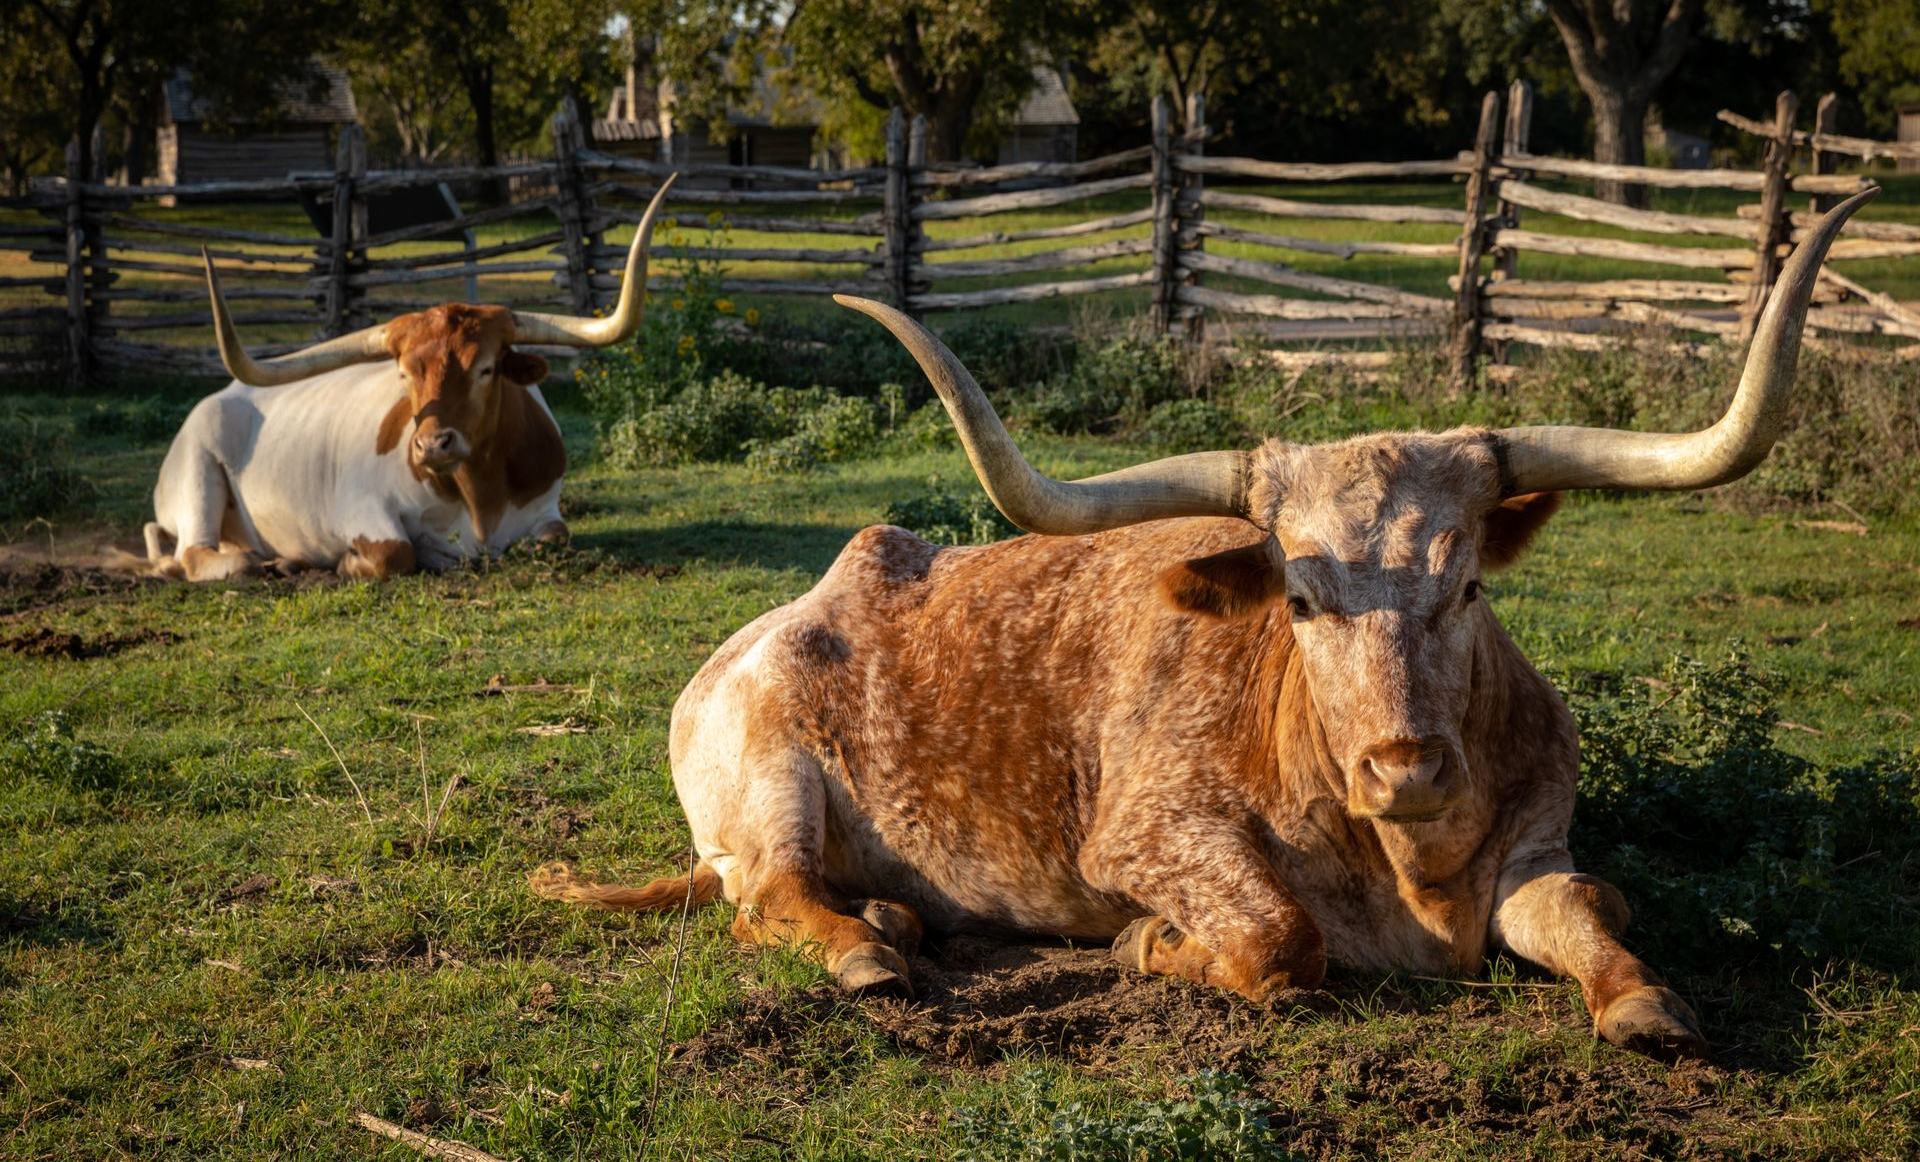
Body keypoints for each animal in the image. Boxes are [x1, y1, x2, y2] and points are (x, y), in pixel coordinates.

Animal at [140, 179, 677, 581]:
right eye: (403, 373)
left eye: (486, 369)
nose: (433, 444)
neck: (480, 499)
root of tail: (223, 395)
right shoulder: (361, 511)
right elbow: (397, 553)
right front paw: (350, 562)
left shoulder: (546, 510)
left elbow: (555, 538)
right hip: (197, 474)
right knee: (193, 554)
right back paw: (254, 561)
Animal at [532, 189, 1876, 1062]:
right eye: (1301, 598)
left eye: (1469, 589)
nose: (1406, 766)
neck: (1412, 864)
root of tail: (776, 621)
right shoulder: (1143, 835)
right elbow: (1281, 941)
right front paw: (1148, 949)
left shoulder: (1538, 844)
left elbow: (1594, 910)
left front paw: (1642, 1003)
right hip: (768, 782)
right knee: (768, 896)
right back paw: (866, 951)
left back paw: (894, 918)